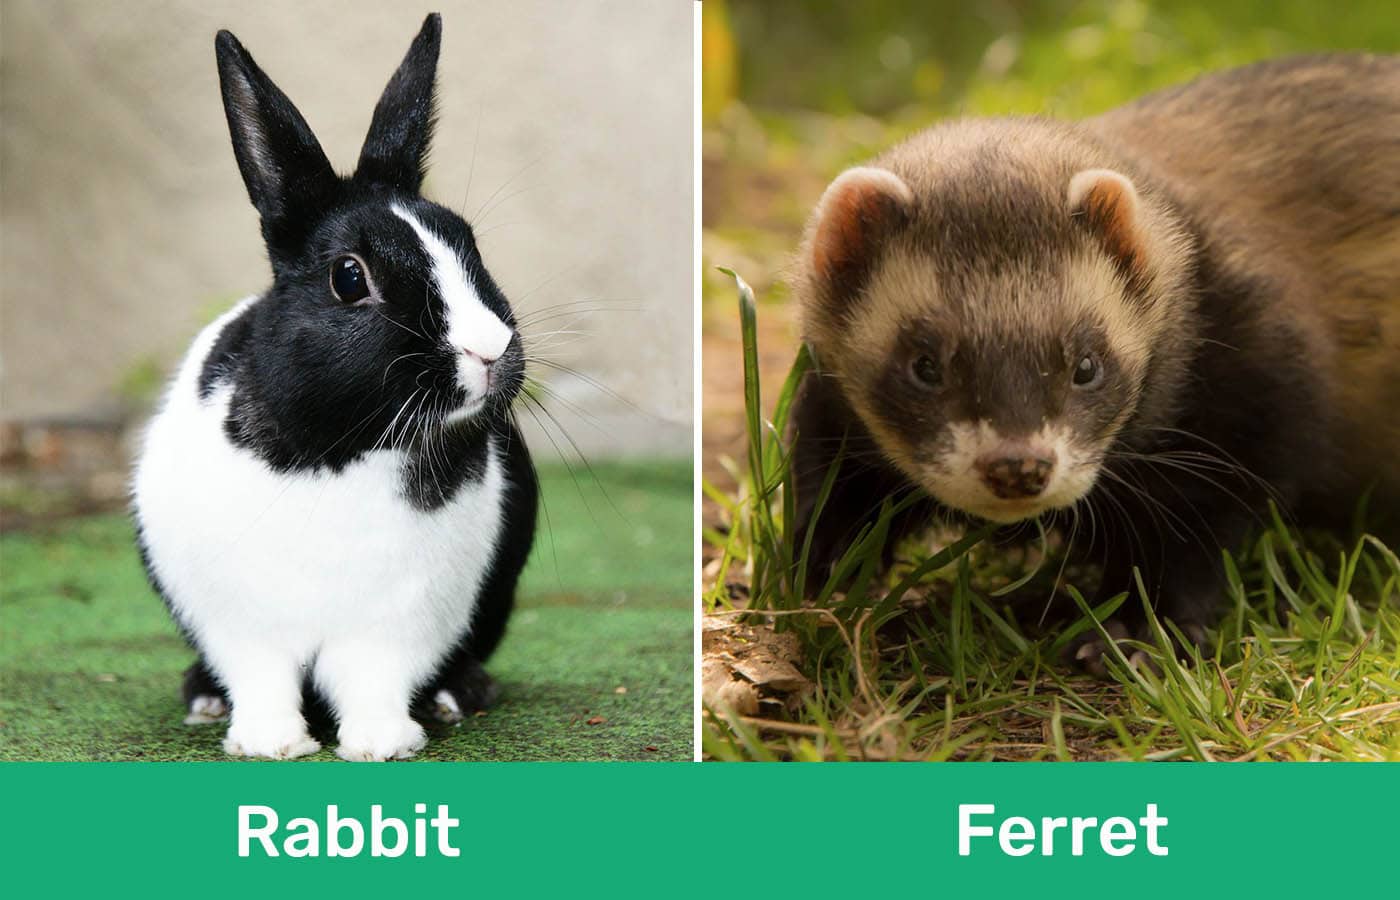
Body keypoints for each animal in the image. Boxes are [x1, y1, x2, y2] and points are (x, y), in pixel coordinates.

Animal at [132, 13, 538, 761]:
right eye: (350, 278)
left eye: (468, 244)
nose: (491, 350)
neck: (342, 448)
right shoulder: (242, 623)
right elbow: (262, 680)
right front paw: (270, 744)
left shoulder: (399, 622)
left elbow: (374, 680)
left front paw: (381, 744)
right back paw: (203, 698)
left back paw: (456, 695)